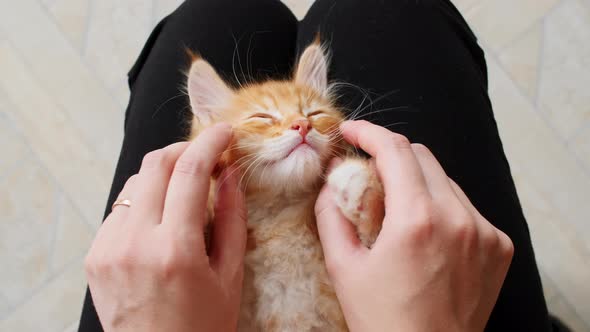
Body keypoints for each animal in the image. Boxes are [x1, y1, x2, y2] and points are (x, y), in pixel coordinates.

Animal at [187, 41, 386, 332]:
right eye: (262, 117)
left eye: (314, 114)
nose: (302, 125)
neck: (280, 221)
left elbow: (377, 228)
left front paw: (355, 179)